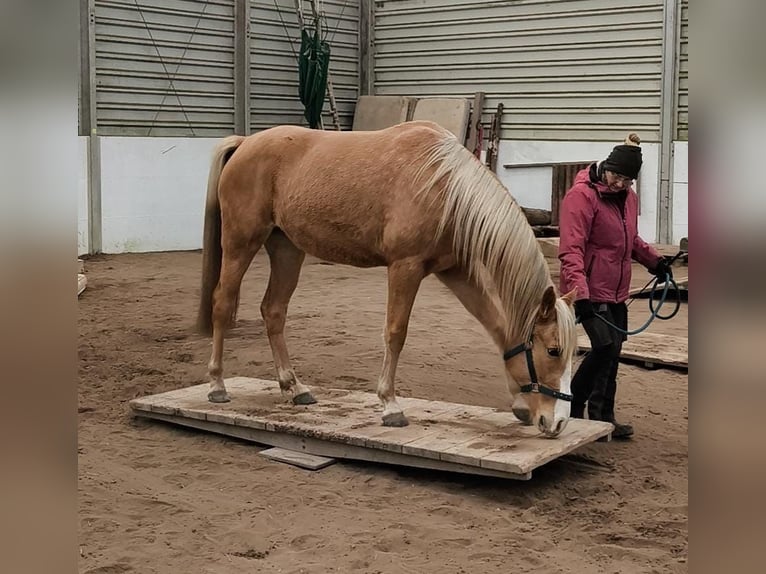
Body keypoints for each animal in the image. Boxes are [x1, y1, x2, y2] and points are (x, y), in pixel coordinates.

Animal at [196, 120, 578, 437]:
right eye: (554, 350)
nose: (558, 422)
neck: (445, 185)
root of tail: (245, 143)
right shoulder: (405, 267)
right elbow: (396, 333)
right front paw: (390, 405)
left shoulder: (456, 271)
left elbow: (497, 327)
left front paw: (519, 403)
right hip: (241, 243)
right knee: (222, 303)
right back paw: (217, 386)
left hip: (287, 249)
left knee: (273, 311)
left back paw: (294, 387)